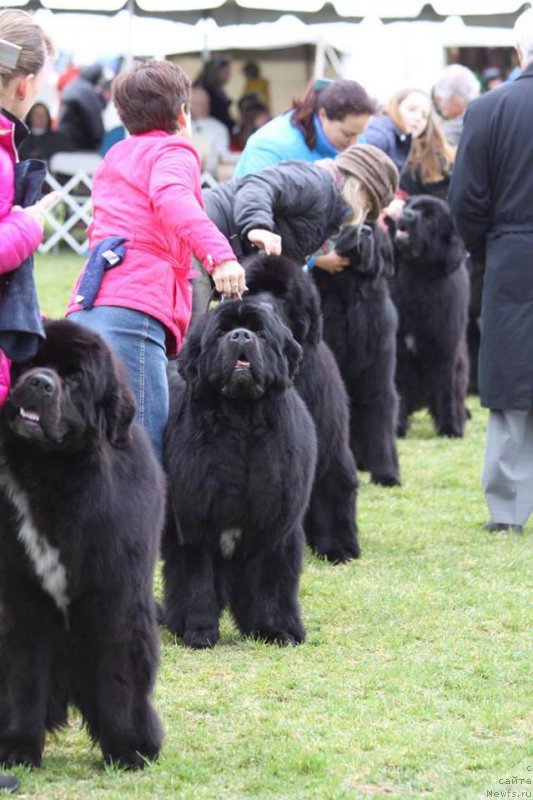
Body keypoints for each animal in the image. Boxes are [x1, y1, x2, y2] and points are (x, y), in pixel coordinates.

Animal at [0, 318, 164, 768]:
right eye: (29, 362)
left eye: (74, 380)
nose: (40, 382)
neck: (51, 477)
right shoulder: (22, 599)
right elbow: (23, 677)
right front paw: (18, 746)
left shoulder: (118, 594)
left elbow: (118, 674)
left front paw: (127, 747)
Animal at [162, 296, 316, 648]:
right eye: (221, 333)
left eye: (260, 332)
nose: (241, 336)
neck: (242, 422)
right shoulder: (193, 523)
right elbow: (196, 581)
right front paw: (199, 632)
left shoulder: (275, 525)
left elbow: (270, 584)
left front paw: (277, 630)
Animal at [243, 255, 360, 564]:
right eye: (249, 290)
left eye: (283, 296)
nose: (260, 309)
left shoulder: (328, 442)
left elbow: (333, 487)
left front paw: (339, 547)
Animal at [312, 223, 400, 488]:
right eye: (344, 229)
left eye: (374, 230)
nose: (365, 232)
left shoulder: (378, 375)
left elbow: (380, 420)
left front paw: (386, 475)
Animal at [390, 195, 470, 438]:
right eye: (411, 207)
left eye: (430, 219)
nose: (405, 215)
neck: (419, 274)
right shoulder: (400, 348)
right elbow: (399, 388)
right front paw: (397, 428)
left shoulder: (444, 347)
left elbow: (446, 390)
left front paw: (450, 428)